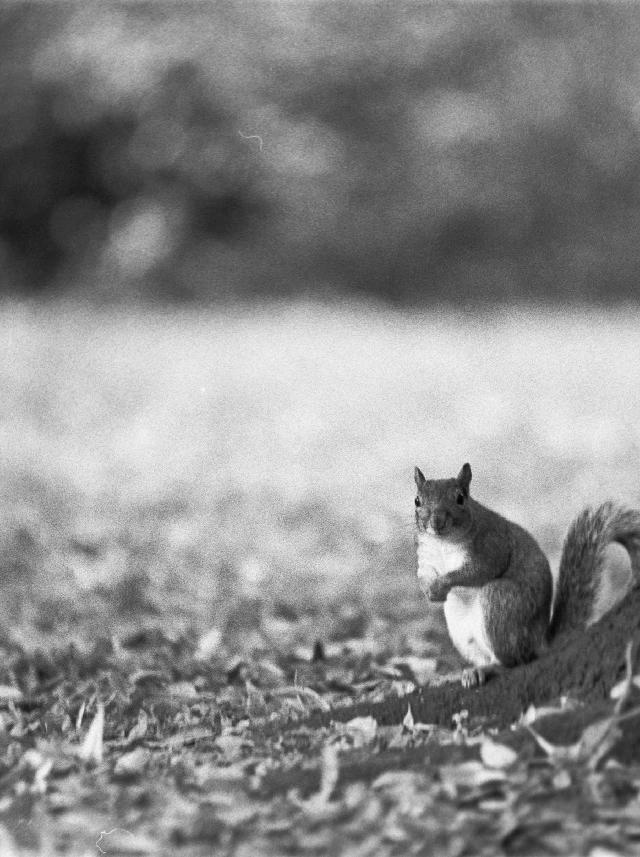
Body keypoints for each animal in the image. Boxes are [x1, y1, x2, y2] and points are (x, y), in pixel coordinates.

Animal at [414, 463, 640, 688]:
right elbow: (423, 574)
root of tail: (541, 642)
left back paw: (489, 669)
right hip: (459, 626)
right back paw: (459, 674)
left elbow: (478, 571)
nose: (436, 522)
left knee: (512, 661)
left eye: (460, 498)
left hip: (501, 603)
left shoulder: (491, 545)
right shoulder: (426, 557)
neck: (443, 542)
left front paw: (443, 584)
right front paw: (429, 590)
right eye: (417, 500)